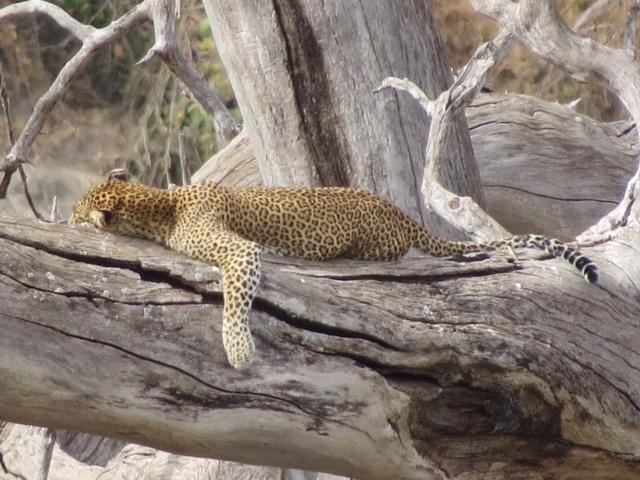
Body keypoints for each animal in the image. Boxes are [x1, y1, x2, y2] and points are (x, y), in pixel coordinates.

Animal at [67, 171, 596, 370]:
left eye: (74, 212)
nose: (66, 220)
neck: (161, 204)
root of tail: (396, 209)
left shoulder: (240, 251)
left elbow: (235, 300)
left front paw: (239, 350)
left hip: (375, 242)